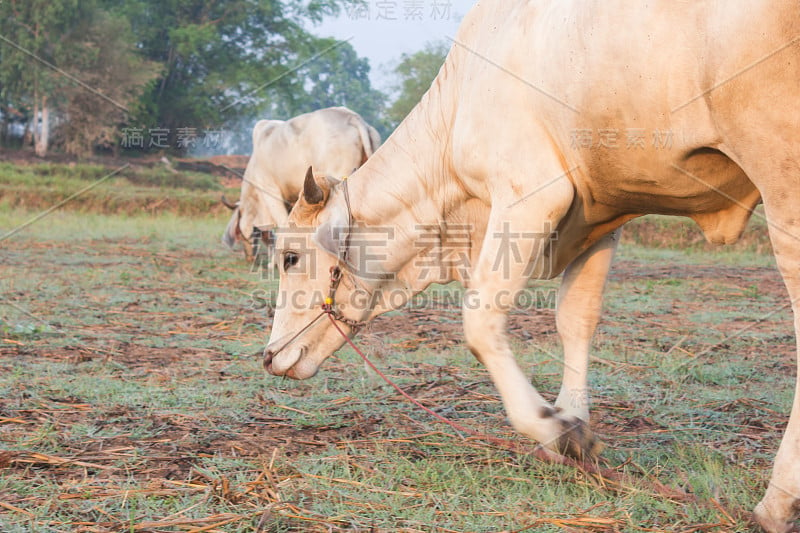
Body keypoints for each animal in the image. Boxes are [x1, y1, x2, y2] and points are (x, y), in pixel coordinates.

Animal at [262, 3, 800, 528]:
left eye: (290, 257)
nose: (268, 357)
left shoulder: (530, 196)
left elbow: (480, 322)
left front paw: (554, 429)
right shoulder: (600, 218)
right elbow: (575, 319)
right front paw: (573, 423)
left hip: (781, 174)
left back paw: (777, 501)